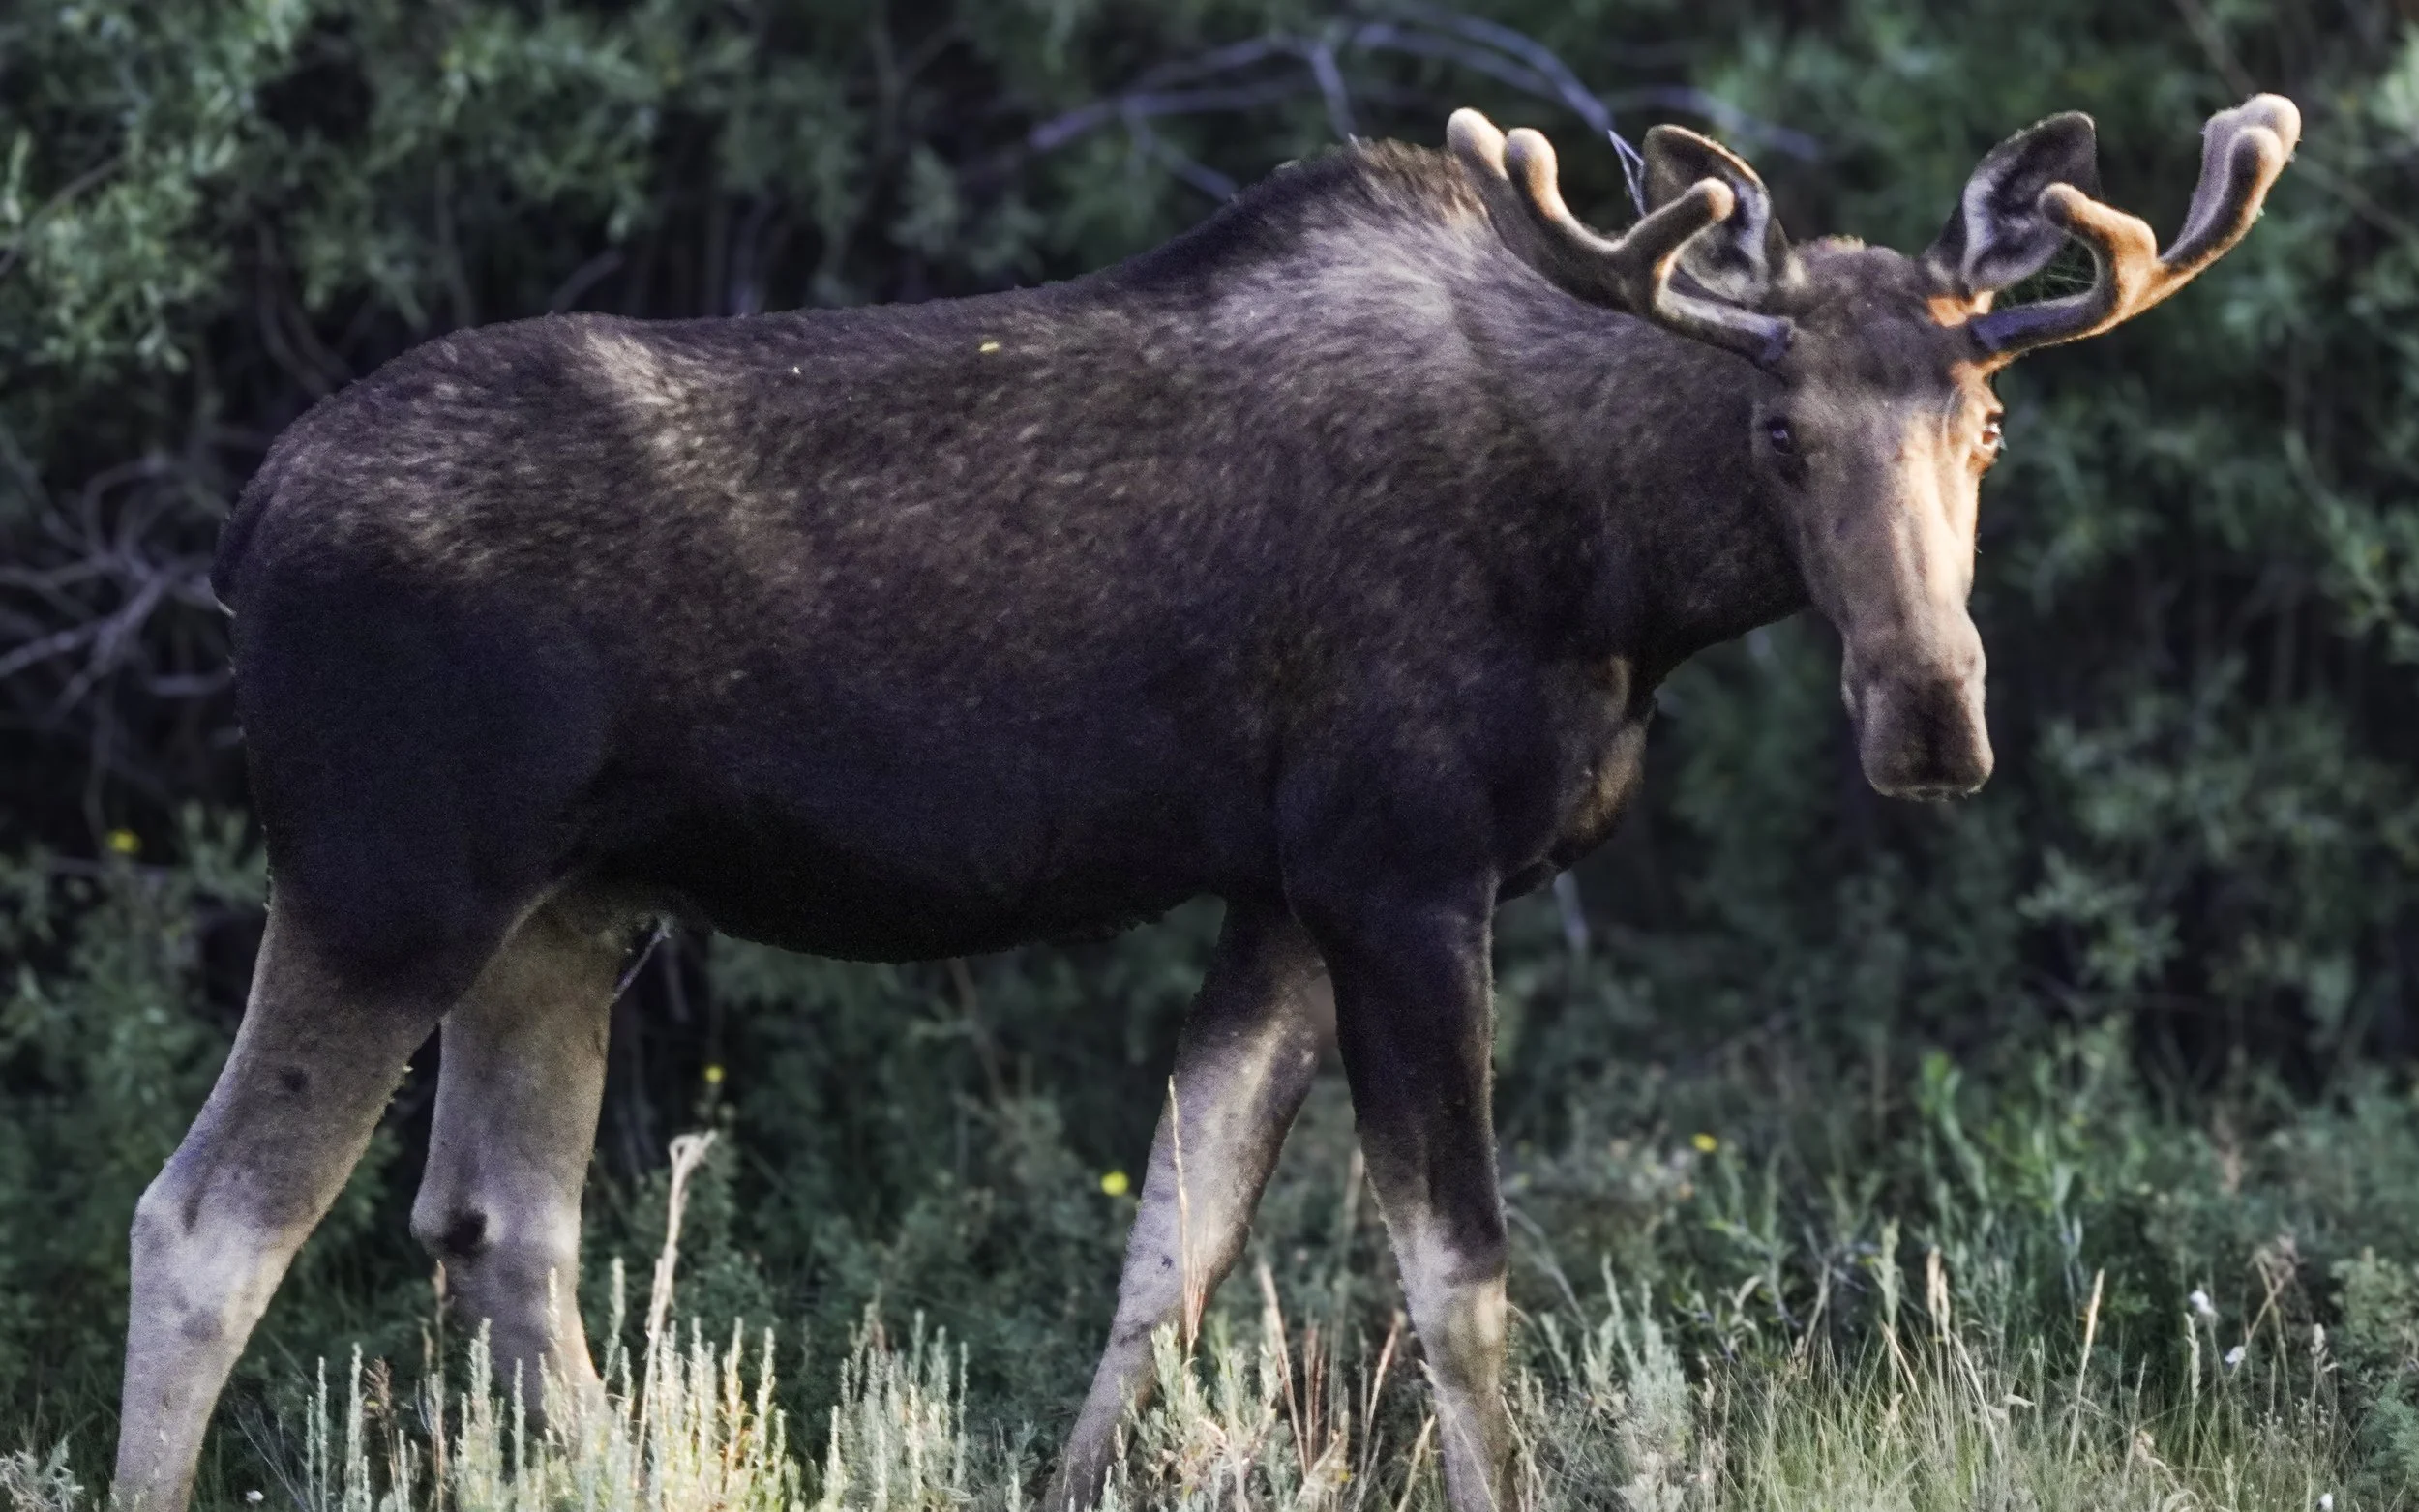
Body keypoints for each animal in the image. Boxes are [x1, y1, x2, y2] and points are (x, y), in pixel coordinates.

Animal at [114, 91, 2298, 1512]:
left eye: (1984, 419)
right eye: (1773, 428)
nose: (1929, 711)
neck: (1623, 576)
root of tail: (238, 526)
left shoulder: (1275, 893)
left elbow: (1168, 1253)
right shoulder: (1401, 866)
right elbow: (1456, 1273)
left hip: (569, 907)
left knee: (504, 1226)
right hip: (392, 879)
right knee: (207, 1222)